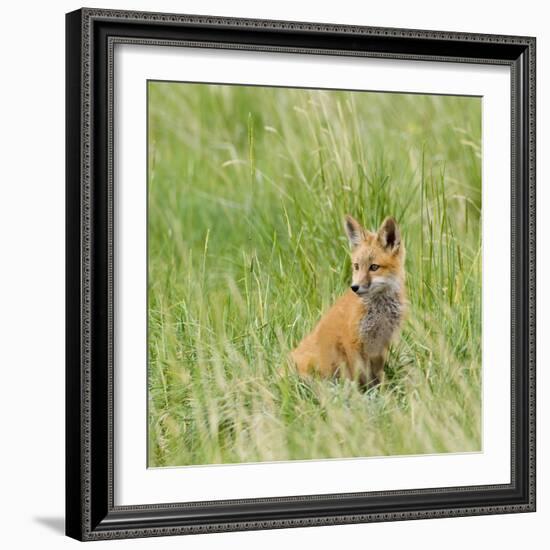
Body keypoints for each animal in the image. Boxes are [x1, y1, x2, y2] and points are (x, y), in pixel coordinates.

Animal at [292, 216, 408, 388]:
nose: (354, 287)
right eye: (357, 266)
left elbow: (378, 377)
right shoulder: (352, 341)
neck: (380, 311)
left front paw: (382, 390)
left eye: (374, 267)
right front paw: (362, 393)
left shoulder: (382, 344)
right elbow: (359, 376)